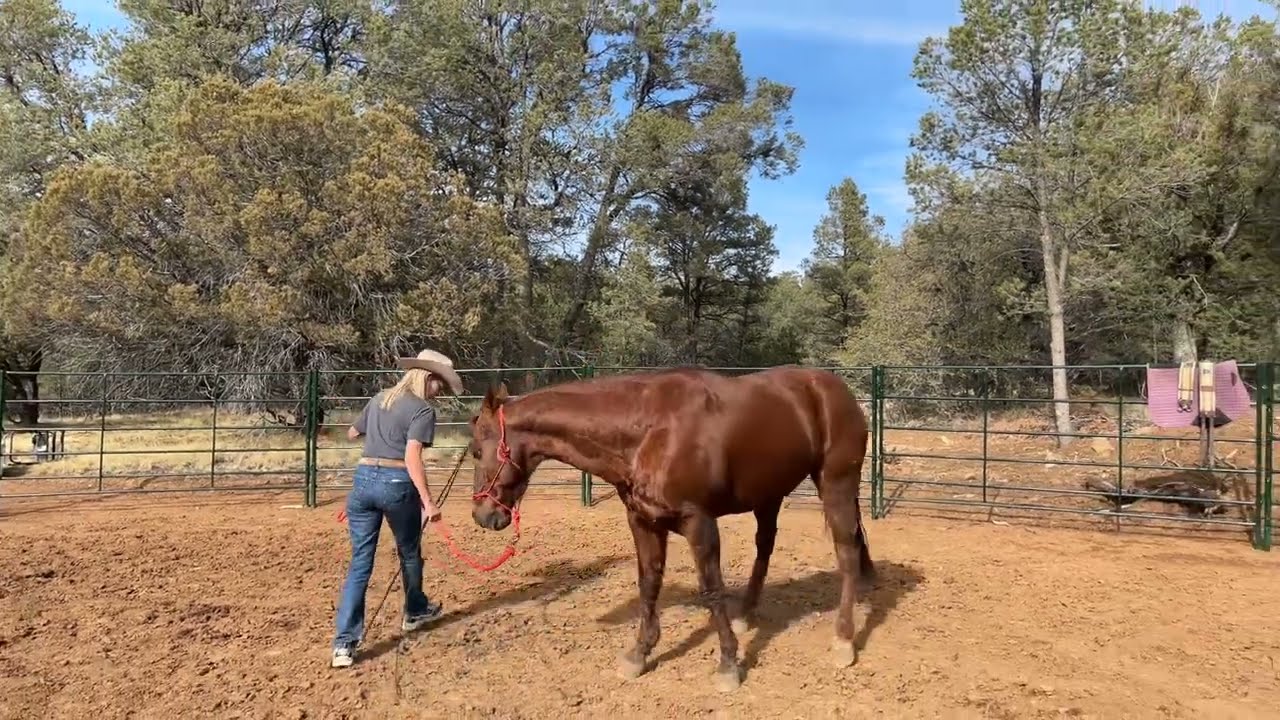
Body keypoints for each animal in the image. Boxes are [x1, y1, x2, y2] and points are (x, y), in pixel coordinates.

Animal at [466, 365, 875, 692]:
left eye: (475, 451)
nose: (483, 515)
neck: (646, 432)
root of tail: (838, 391)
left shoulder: (700, 523)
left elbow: (711, 590)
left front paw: (728, 664)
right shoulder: (643, 521)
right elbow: (649, 584)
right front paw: (639, 654)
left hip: (836, 484)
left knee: (847, 552)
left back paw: (844, 640)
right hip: (769, 494)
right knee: (766, 546)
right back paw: (746, 615)